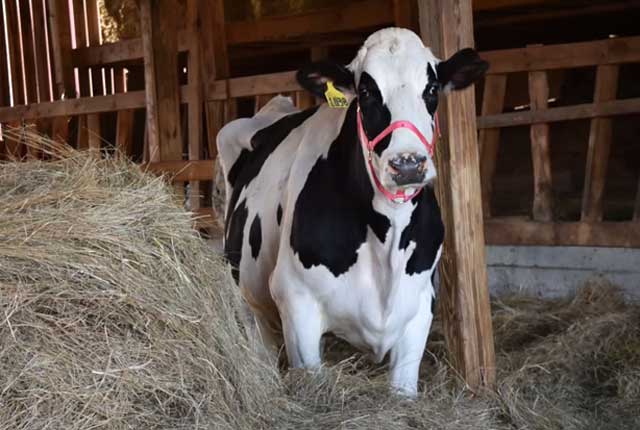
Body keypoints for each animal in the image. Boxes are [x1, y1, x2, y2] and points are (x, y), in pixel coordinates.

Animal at [218, 26, 488, 396]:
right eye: (366, 91)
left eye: (432, 89)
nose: (407, 164)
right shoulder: (296, 301)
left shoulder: (419, 308)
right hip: (247, 298)